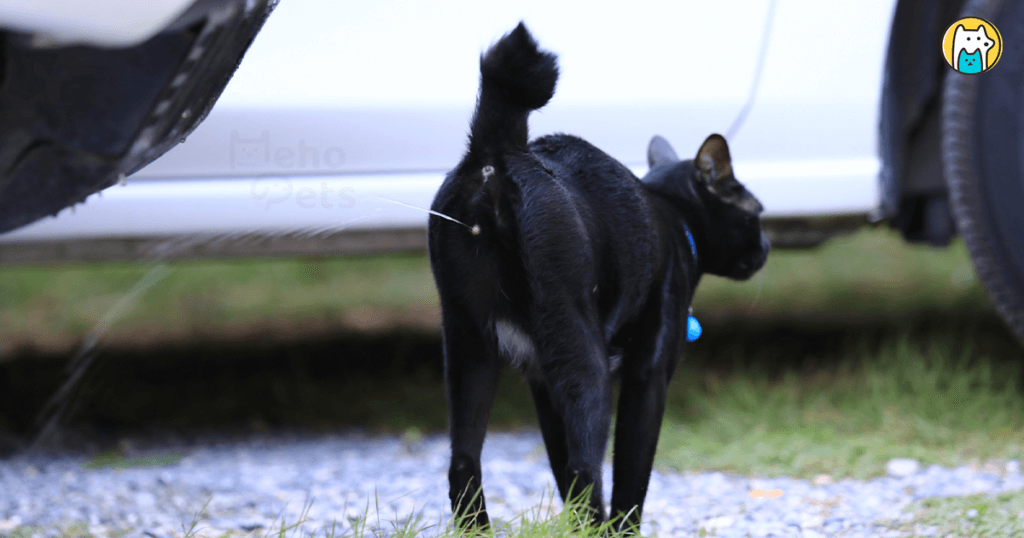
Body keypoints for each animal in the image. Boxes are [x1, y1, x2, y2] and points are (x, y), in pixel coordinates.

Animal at [423, 22, 770, 532]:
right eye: (757, 213)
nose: (767, 245)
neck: (674, 215)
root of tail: (498, 150)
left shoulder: (542, 381)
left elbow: (560, 465)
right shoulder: (648, 375)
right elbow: (631, 471)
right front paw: (618, 530)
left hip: (469, 347)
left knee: (464, 462)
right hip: (582, 355)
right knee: (587, 467)